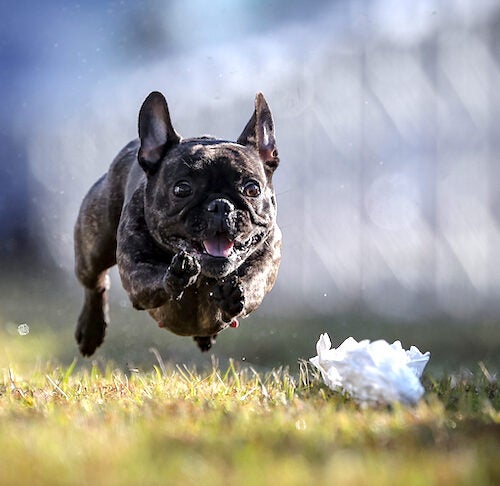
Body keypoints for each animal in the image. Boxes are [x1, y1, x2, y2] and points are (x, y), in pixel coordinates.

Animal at [73, 91, 282, 356]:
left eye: (252, 189)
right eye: (182, 189)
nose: (220, 205)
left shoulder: (269, 255)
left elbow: (254, 281)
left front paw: (233, 293)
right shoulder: (136, 270)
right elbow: (153, 278)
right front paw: (177, 274)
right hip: (94, 248)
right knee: (96, 283)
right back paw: (91, 331)